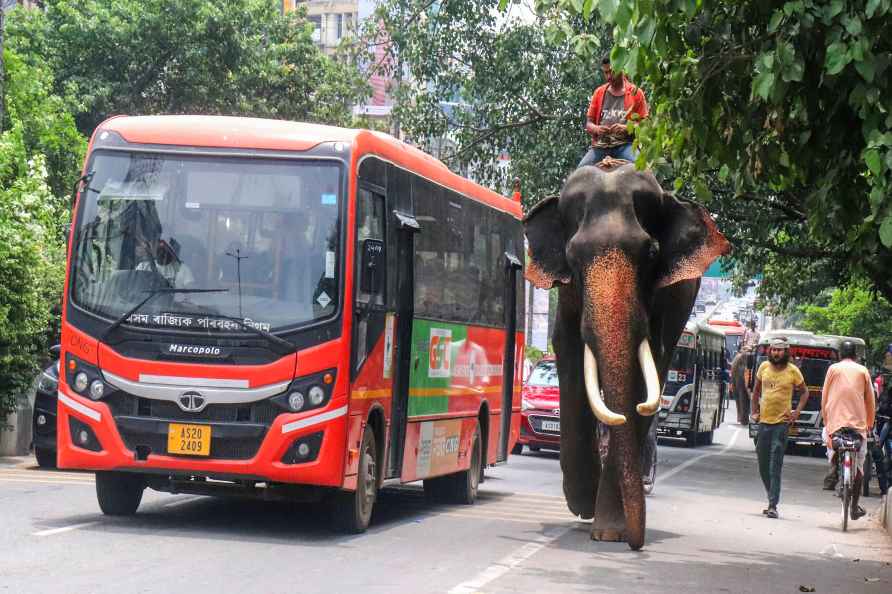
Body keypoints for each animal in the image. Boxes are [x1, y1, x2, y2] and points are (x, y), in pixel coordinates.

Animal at [524, 160, 724, 548]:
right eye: (572, 257)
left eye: (652, 254)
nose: (637, 541)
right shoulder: (567, 293)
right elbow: (569, 353)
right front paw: (582, 502)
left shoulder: (663, 301)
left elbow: (648, 373)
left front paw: (609, 532)